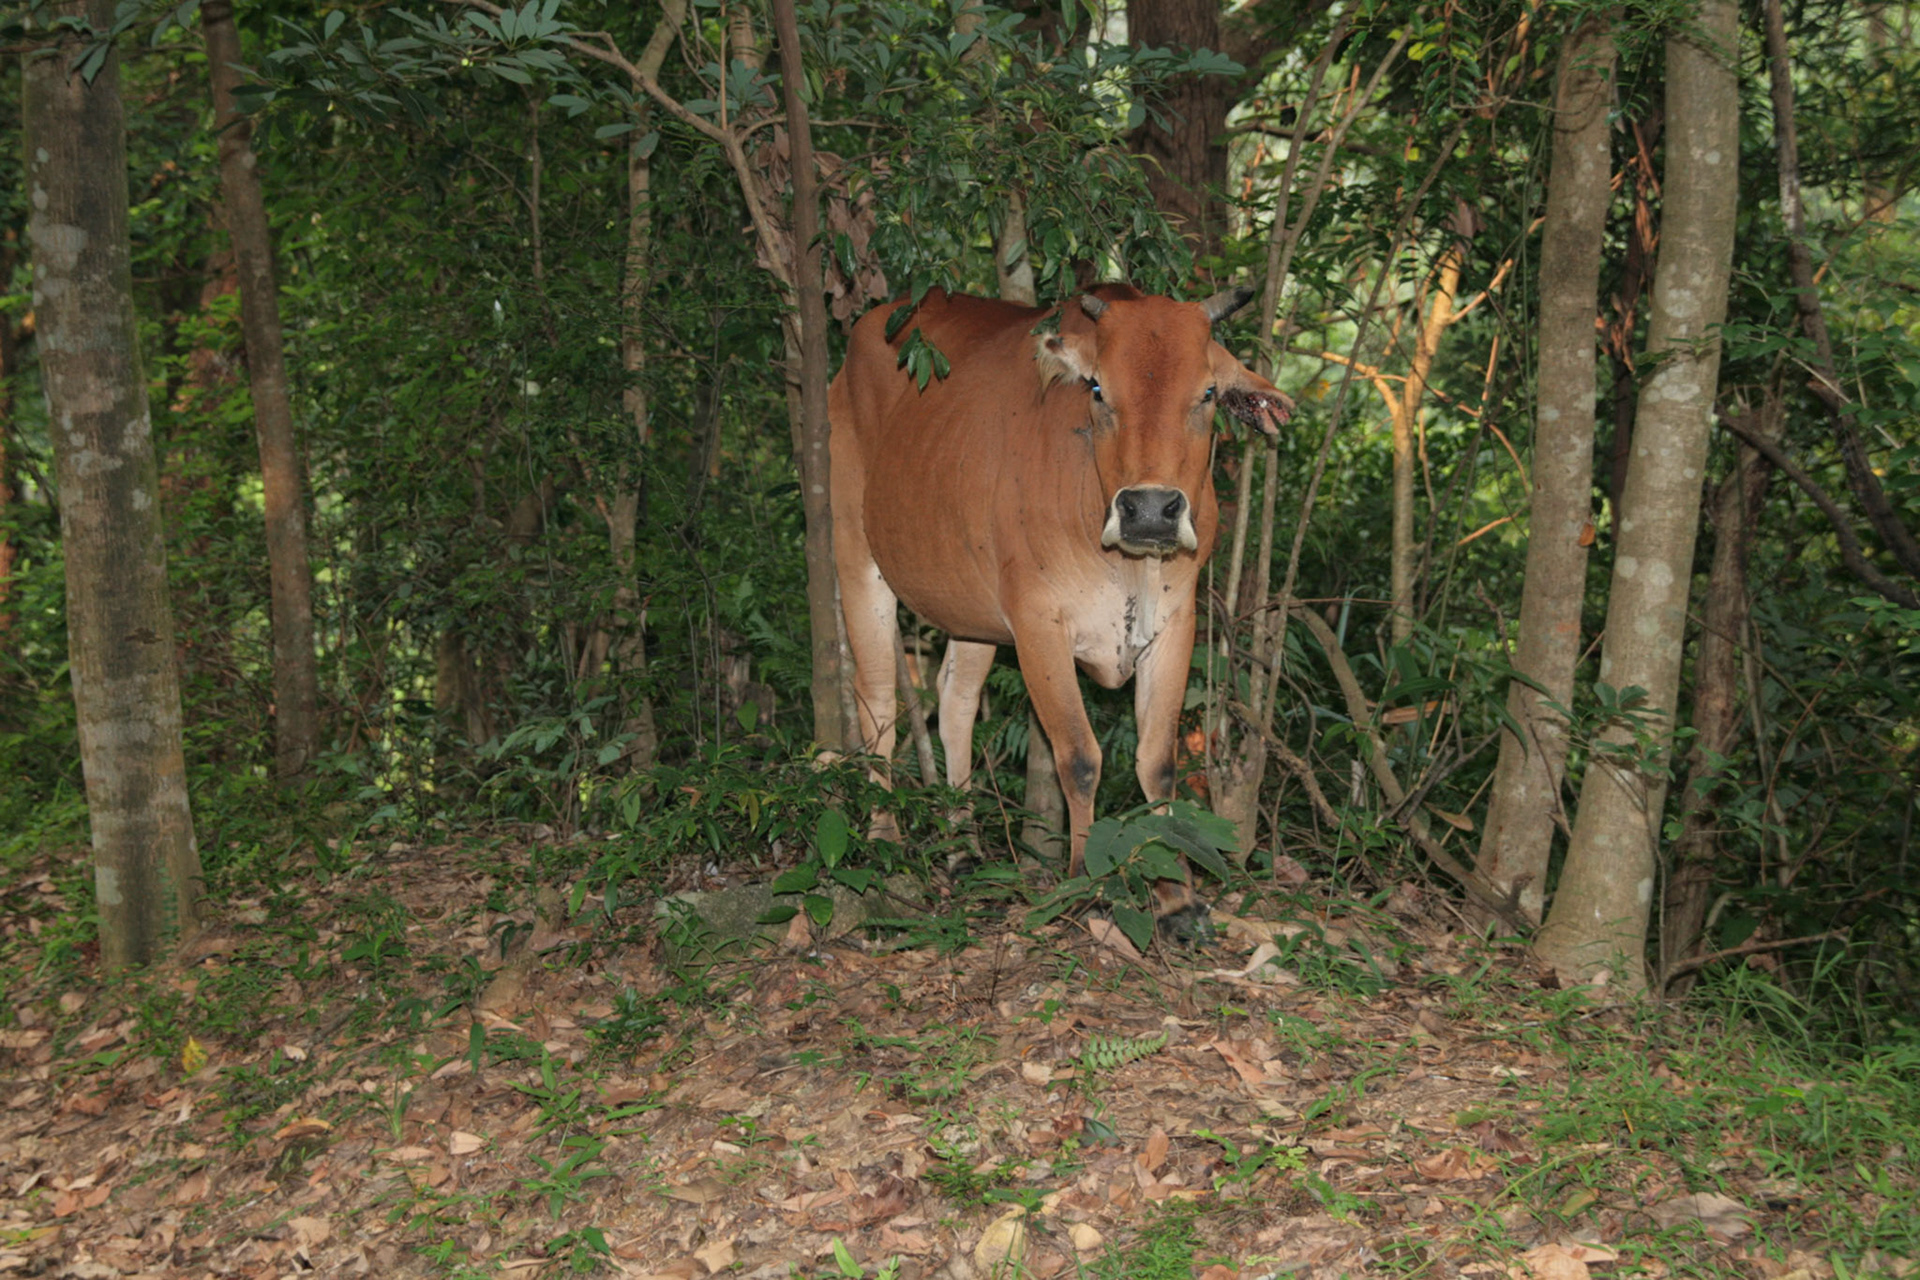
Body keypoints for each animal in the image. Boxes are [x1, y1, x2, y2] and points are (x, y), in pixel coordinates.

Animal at [828, 283, 1294, 936]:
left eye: (1207, 393)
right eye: (1097, 389)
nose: (1149, 510)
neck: (1128, 563)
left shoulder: (1176, 627)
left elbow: (1158, 763)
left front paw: (1178, 898)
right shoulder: (1037, 623)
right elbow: (1078, 758)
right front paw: (1085, 885)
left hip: (971, 606)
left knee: (955, 702)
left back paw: (962, 848)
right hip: (854, 547)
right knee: (877, 703)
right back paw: (885, 837)